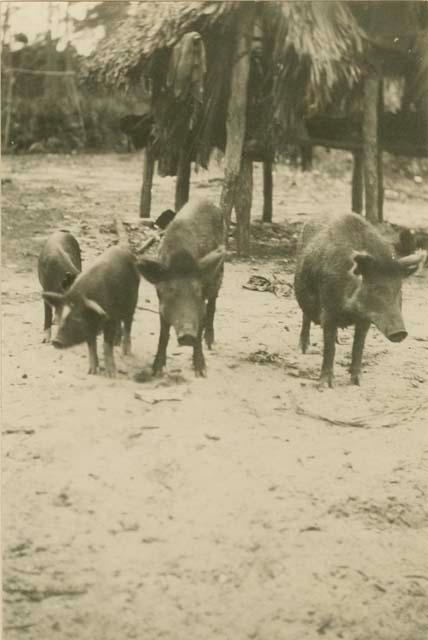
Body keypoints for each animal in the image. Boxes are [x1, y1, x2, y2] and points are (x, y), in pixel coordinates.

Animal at [42, 244, 139, 376]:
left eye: (78, 319)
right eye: (62, 319)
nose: (56, 341)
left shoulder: (110, 320)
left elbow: (106, 346)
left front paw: (111, 374)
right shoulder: (90, 328)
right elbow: (91, 346)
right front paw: (91, 372)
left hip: (132, 303)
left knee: (128, 325)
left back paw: (126, 352)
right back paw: (116, 343)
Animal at [138, 199, 226, 376]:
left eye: (197, 291)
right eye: (170, 291)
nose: (187, 335)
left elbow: (201, 323)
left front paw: (201, 371)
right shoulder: (161, 303)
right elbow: (163, 334)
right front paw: (156, 370)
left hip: (218, 274)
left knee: (212, 305)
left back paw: (210, 343)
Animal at [292, 212, 426, 388]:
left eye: (399, 289)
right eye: (374, 288)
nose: (401, 333)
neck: (351, 310)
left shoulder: (365, 319)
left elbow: (358, 346)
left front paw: (358, 382)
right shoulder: (328, 310)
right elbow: (329, 348)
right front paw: (326, 385)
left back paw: (338, 340)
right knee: (305, 317)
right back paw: (303, 349)